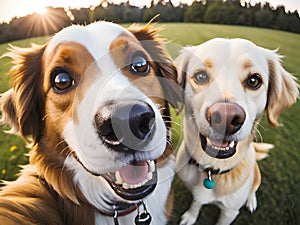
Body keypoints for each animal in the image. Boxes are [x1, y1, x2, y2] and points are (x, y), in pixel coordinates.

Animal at [175, 38, 298, 225]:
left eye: (254, 80)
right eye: (200, 76)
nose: (226, 117)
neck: (213, 169)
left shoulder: (230, 212)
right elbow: (196, 202)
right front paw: (190, 216)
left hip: (257, 175)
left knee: (254, 188)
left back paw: (251, 200)